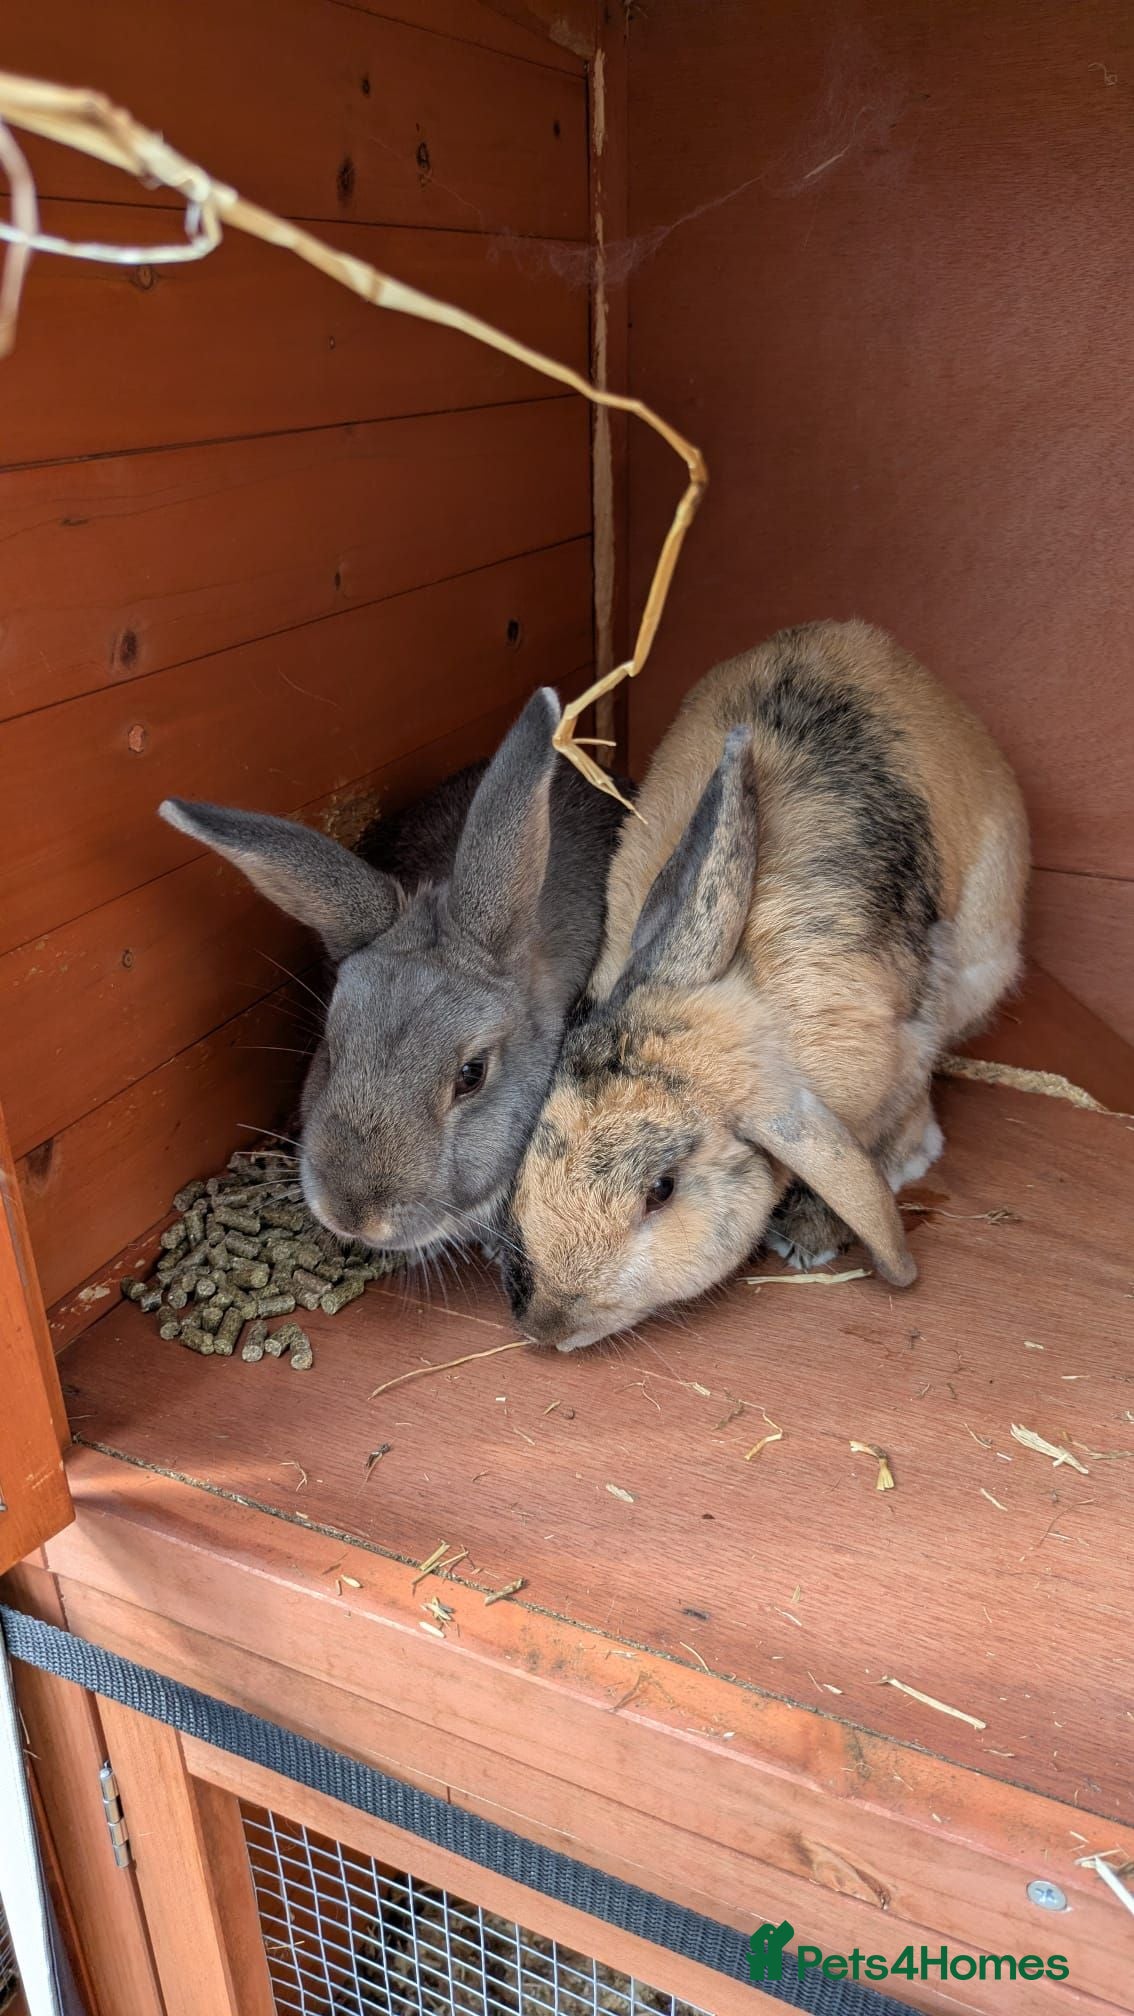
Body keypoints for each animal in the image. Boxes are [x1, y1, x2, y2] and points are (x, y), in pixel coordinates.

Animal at [502, 620, 1028, 1351]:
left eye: (662, 1189)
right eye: (539, 1142)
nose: (547, 1324)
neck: (746, 1004)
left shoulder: (895, 1066)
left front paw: (814, 1236)